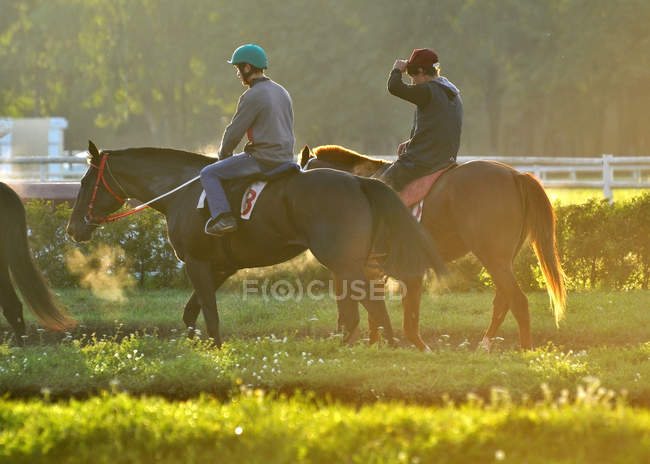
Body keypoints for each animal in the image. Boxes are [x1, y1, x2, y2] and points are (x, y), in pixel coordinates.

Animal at [66, 141, 446, 348]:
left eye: (85, 180)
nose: (72, 228)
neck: (182, 192)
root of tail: (359, 181)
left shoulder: (196, 262)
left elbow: (209, 313)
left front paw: (215, 349)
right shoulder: (221, 265)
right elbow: (191, 311)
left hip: (343, 260)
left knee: (371, 304)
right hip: (351, 261)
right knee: (364, 307)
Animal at [302, 143, 564, 350]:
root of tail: (515, 175)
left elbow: (385, 317)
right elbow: (376, 315)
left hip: (493, 258)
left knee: (518, 301)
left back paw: (525, 349)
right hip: (502, 260)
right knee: (503, 301)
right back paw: (485, 346)